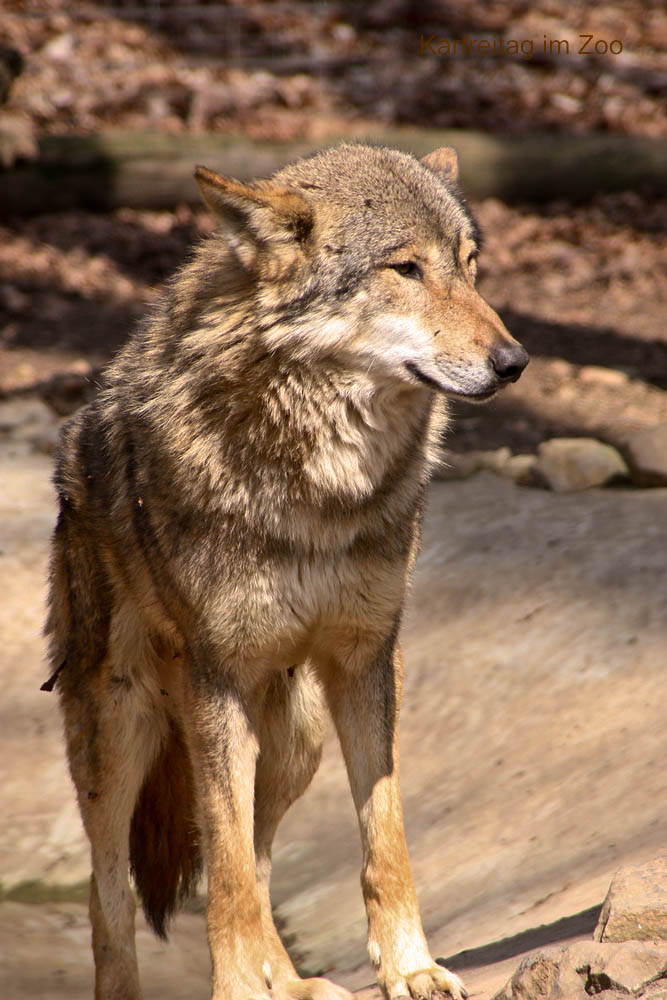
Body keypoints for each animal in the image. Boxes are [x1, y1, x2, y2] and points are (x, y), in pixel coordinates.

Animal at [44, 143, 528, 1000]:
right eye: (405, 268)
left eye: (470, 267)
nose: (513, 362)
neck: (321, 487)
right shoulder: (215, 676)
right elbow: (225, 871)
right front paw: (238, 987)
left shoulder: (367, 658)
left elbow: (382, 836)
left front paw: (411, 966)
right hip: (121, 732)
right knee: (115, 895)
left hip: (294, 739)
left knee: (259, 858)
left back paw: (294, 982)